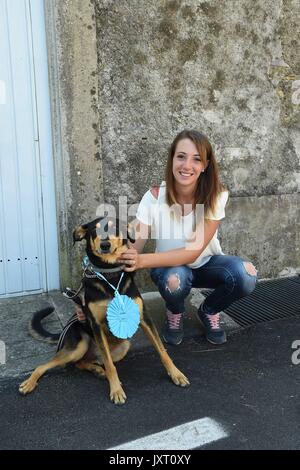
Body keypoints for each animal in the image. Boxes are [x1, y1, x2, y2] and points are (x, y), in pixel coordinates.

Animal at [18, 217, 189, 404]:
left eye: (115, 228)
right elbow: (110, 365)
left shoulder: (144, 317)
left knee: (85, 362)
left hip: (123, 347)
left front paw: (176, 374)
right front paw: (116, 391)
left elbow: (162, 351)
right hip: (78, 346)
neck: (109, 274)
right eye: (95, 231)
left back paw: (98, 370)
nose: (105, 245)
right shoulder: (97, 325)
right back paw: (29, 383)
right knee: (47, 365)